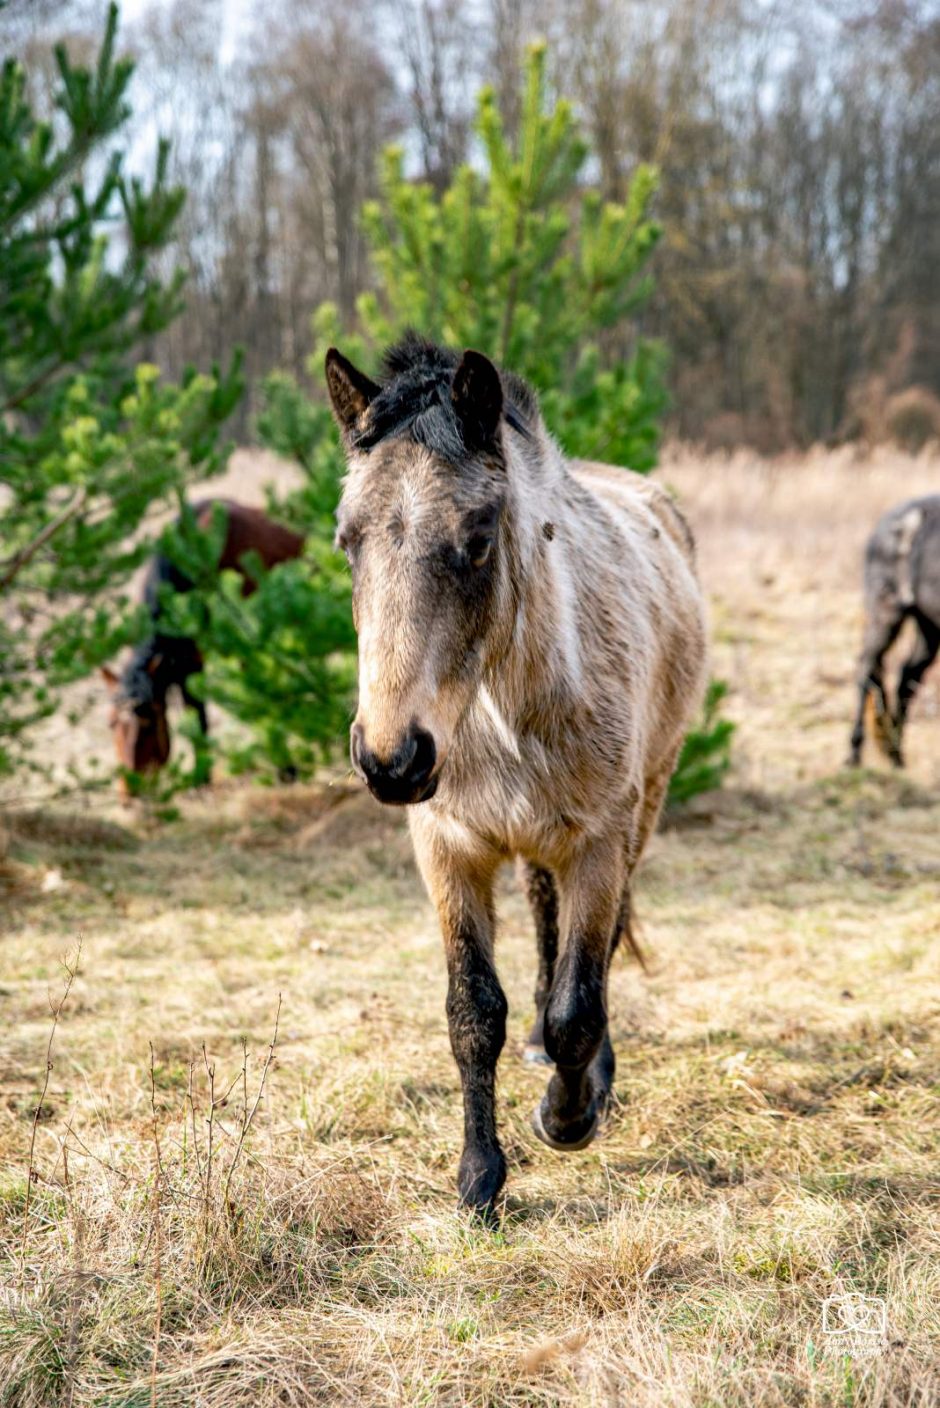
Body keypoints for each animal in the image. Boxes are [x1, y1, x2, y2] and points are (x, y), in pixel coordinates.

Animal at [106, 498, 305, 794]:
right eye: (111, 725)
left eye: (148, 723)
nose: (128, 793)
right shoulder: (186, 663)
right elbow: (197, 719)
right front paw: (201, 776)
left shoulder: (247, 647)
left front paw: (286, 769)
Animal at [326, 335, 700, 1216]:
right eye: (347, 541)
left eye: (478, 541)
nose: (392, 758)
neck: (500, 713)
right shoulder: (448, 848)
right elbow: (473, 1012)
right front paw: (479, 1178)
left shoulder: (597, 844)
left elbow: (579, 1002)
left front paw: (569, 1116)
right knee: (541, 915)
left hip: (645, 804)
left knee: (594, 946)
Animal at [849, 489, 940, 765]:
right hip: (886, 613)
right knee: (866, 668)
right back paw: (854, 753)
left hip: (928, 625)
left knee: (906, 677)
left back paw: (896, 754)